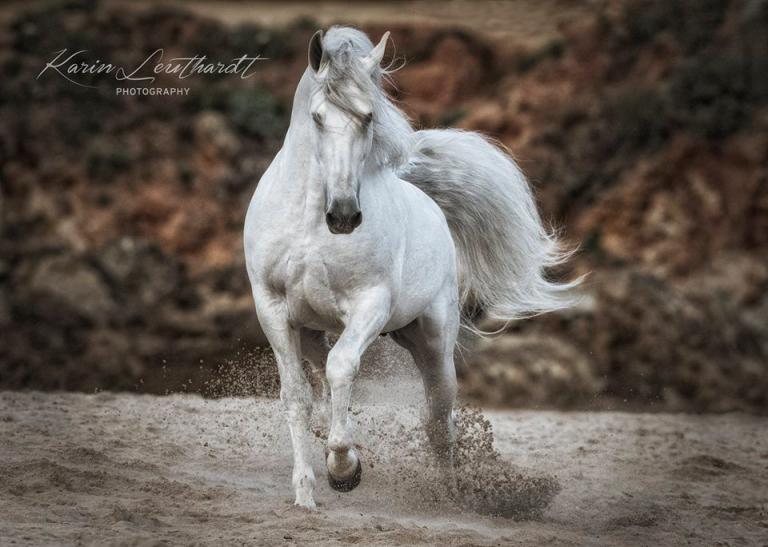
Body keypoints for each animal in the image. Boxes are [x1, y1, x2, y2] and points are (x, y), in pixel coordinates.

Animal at [244, 26, 579, 509]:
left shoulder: (370, 303)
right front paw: (306, 492)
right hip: (310, 330)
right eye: (317, 118)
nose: (342, 215)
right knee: (326, 377)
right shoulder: (272, 309)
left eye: (368, 117)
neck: (309, 223)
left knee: (439, 418)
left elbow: (343, 366)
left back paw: (449, 493)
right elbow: (297, 396)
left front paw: (344, 468)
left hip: (433, 342)